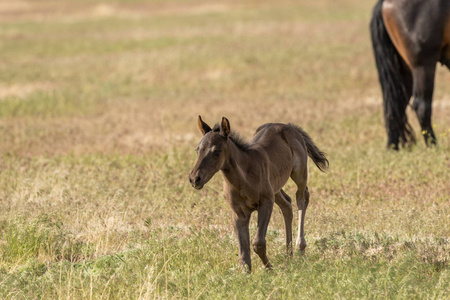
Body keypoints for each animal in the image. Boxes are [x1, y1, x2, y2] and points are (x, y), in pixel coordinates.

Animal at [370, 0, 450, 149]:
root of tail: (385, 2)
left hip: (406, 69)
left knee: (396, 105)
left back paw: (392, 147)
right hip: (423, 65)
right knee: (421, 106)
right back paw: (433, 146)